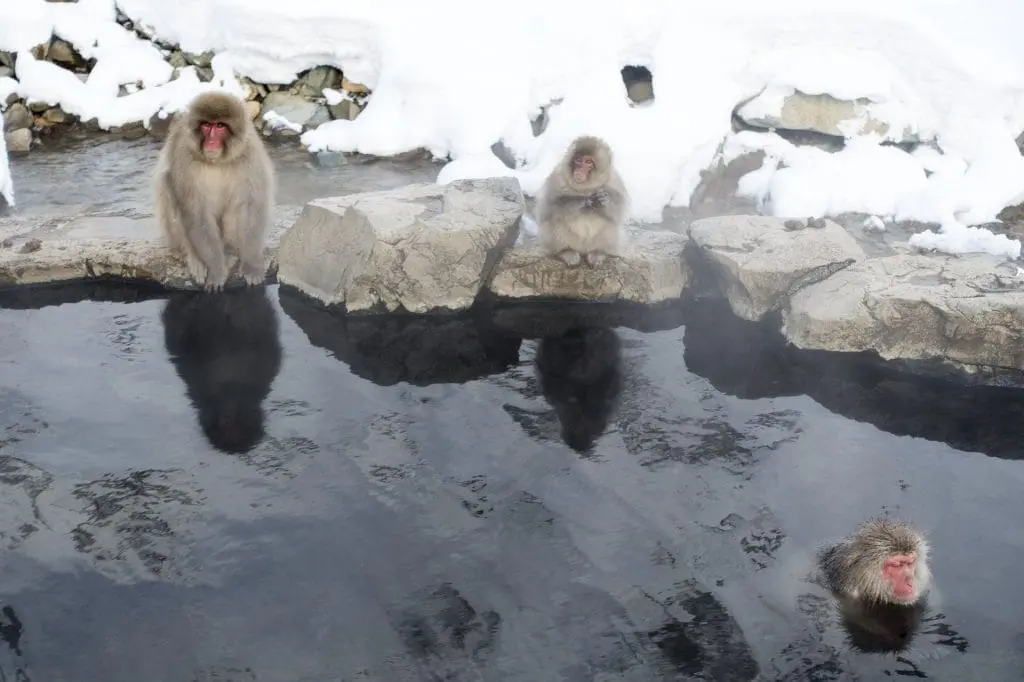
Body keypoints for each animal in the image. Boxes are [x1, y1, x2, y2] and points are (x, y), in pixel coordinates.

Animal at [154, 91, 275, 292]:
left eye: (220, 126)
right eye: (206, 125)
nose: (211, 141)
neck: (216, 160)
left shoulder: (250, 154)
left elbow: (252, 204)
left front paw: (251, 264)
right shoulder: (183, 155)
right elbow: (195, 211)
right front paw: (217, 270)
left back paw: (231, 250)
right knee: (167, 183)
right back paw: (194, 257)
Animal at [535, 135, 628, 267]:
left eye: (588, 162)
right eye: (578, 160)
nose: (579, 170)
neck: (585, 188)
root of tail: (583, 250)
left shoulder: (615, 181)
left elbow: (618, 212)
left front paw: (604, 200)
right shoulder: (556, 178)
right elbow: (549, 208)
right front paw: (584, 201)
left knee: (611, 226)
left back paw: (598, 253)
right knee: (554, 222)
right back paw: (565, 252)